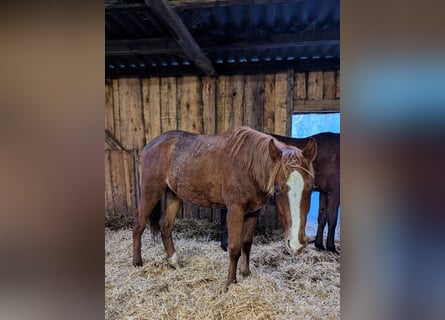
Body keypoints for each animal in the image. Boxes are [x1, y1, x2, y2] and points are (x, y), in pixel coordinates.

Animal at [132, 125, 316, 288]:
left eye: (311, 187)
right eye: (278, 190)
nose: (297, 243)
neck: (248, 166)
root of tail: (149, 146)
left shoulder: (253, 212)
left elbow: (247, 244)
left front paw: (245, 273)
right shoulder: (235, 210)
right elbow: (234, 248)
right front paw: (230, 283)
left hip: (173, 194)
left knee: (166, 225)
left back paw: (174, 262)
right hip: (151, 191)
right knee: (139, 224)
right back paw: (137, 262)